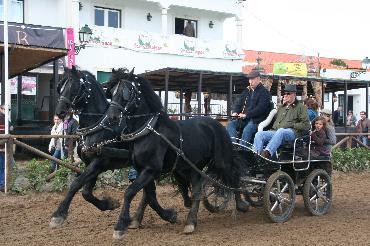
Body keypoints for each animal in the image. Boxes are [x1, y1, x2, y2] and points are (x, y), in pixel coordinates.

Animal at [49, 65, 176, 229]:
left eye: (74, 86)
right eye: (61, 87)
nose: (60, 112)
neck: (97, 126)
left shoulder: (99, 162)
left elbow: (75, 184)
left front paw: (59, 214)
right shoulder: (91, 164)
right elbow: (86, 192)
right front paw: (109, 204)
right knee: (148, 193)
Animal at [105, 68, 249, 237]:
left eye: (126, 92)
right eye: (111, 92)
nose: (112, 117)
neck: (148, 131)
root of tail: (216, 124)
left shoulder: (151, 169)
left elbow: (130, 192)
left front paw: (120, 226)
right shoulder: (143, 170)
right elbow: (148, 196)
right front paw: (160, 217)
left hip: (221, 161)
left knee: (233, 176)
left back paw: (240, 204)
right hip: (193, 167)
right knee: (198, 190)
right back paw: (191, 220)